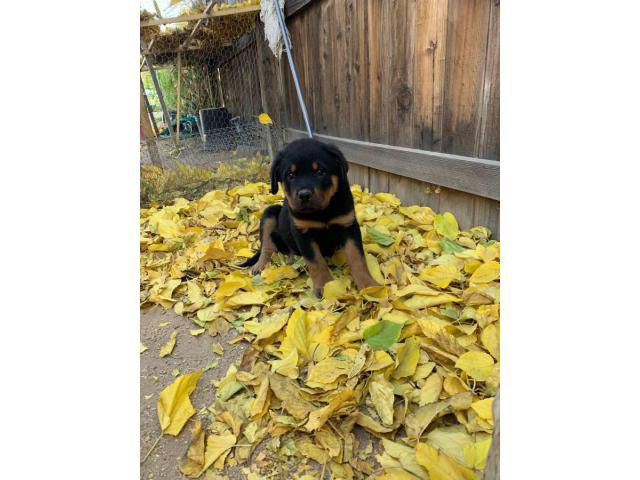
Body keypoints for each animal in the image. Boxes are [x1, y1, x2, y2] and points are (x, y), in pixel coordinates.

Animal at [240, 139, 380, 296]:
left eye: (320, 172)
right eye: (290, 175)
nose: (304, 195)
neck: (322, 212)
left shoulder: (348, 226)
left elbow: (356, 257)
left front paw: (368, 285)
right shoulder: (303, 233)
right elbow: (316, 262)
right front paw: (325, 286)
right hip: (269, 213)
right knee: (267, 247)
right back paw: (260, 265)